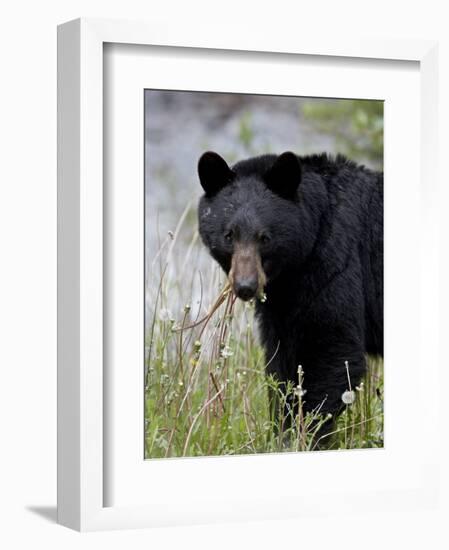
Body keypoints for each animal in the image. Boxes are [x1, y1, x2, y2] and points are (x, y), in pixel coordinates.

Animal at [196, 151, 382, 444]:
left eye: (265, 237)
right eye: (229, 235)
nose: (245, 286)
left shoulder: (335, 264)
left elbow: (333, 351)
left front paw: (305, 437)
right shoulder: (283, 300)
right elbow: (282, 362)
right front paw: (281, 431)